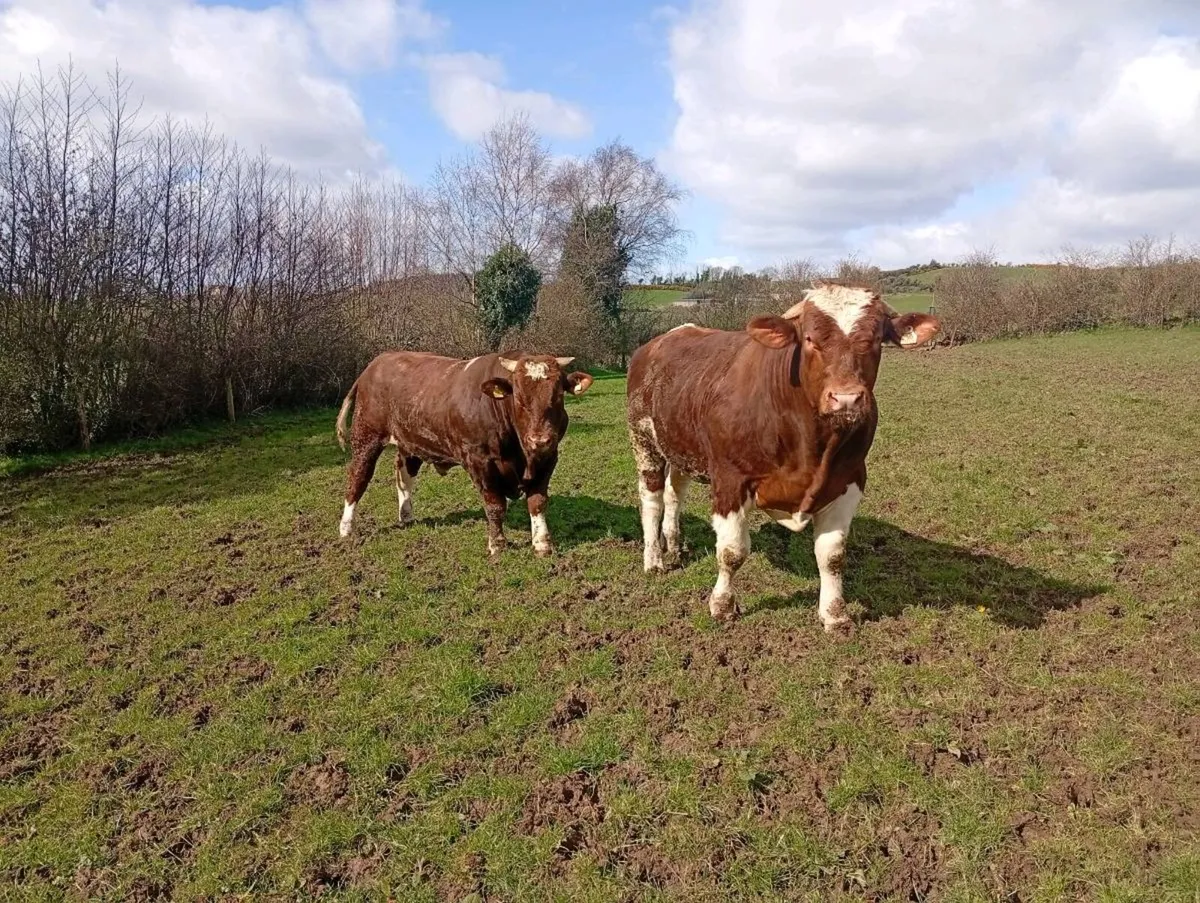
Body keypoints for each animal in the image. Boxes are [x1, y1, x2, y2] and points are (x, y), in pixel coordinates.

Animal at [335, 351, 594, 557]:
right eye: (519, 398)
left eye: (558, 395)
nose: (539, 440)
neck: (521, 454)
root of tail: (377, 362)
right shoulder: (481, 462)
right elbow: (495, 505)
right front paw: (497, 544)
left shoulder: (548, 458)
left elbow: (537, 502)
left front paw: (542, 544)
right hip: (366, 437)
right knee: (358, 478)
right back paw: (346, 528)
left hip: (410, 442)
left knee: (404, 475)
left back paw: (406, 516)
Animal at [625, 282, 941, 633]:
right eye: (810, 339)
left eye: (875, 339)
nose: (846, 398)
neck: (812, 447)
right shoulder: (730, 479)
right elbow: (732, 551)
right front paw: (722, 605)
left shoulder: (850, 480)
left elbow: (832, 555)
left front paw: (835, 614)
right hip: (644, 439)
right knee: (652, 500)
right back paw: (654, 559)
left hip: (679, 444)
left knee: (674, 493)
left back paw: (674, 544)